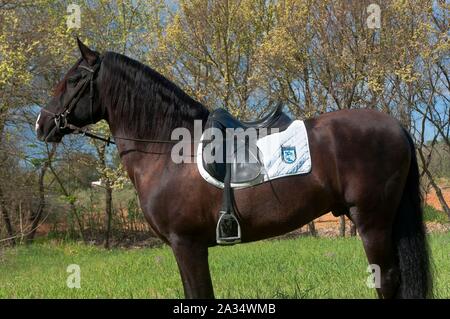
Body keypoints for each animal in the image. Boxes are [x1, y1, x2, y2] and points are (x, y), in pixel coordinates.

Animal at [36, 40, 432, 300]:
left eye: (74, 80)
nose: (42, 124)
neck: (167, 150)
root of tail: (395, 126)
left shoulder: (187, 244)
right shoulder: (185, 248)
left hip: (372, 220)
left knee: (387, 281)